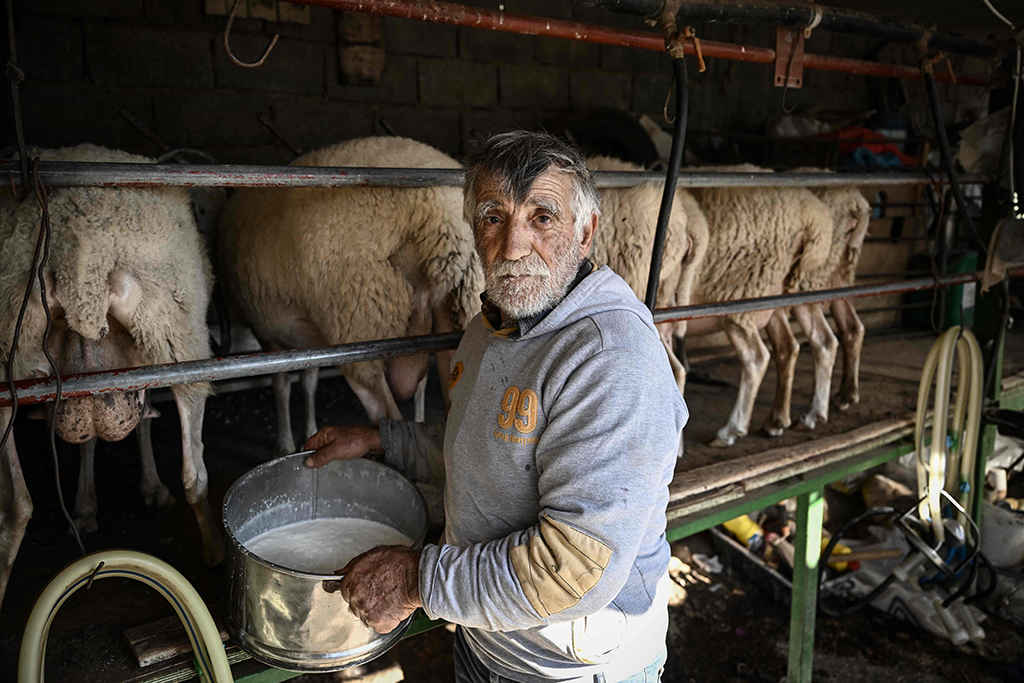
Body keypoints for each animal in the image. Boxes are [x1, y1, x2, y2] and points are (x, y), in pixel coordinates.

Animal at [0, 143, 222, 610]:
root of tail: (77, 258)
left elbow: (95, 438)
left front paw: (87, 507)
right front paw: (149, 489)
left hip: (7, 359)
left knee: (16, 506)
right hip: (181, 341)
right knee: (194, 474)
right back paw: (214, 550)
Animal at [218, 136, 481, 454]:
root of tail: (438, 217)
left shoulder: (268, 335)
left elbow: (281, 386)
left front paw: (285, 443)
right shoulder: (307, 342)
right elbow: (308, 379)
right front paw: (307, 431)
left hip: (360, 325)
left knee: (386, 414)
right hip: (458, 310)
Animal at [679, 166, 831, 448]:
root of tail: (813, 218)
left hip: (741, 298)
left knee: (756, 358)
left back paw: (731, 430)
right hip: (789, 293)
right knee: (813, 343)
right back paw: (796, 417)